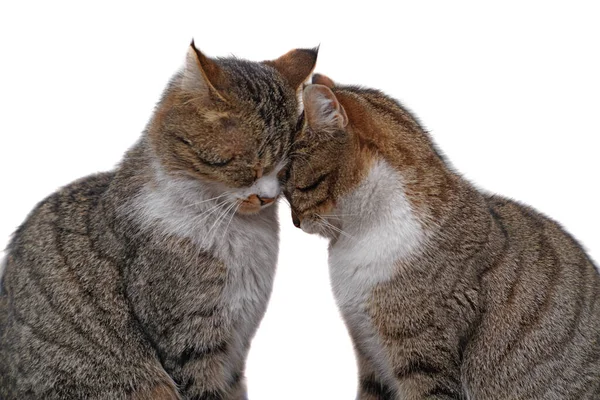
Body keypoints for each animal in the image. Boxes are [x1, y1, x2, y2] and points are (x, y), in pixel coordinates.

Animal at [0, 42, 318, 398]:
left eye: (286, 168)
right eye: (249, 166)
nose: (267, 197)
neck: (237, 229)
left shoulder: (237, 347)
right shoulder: (190, 340)